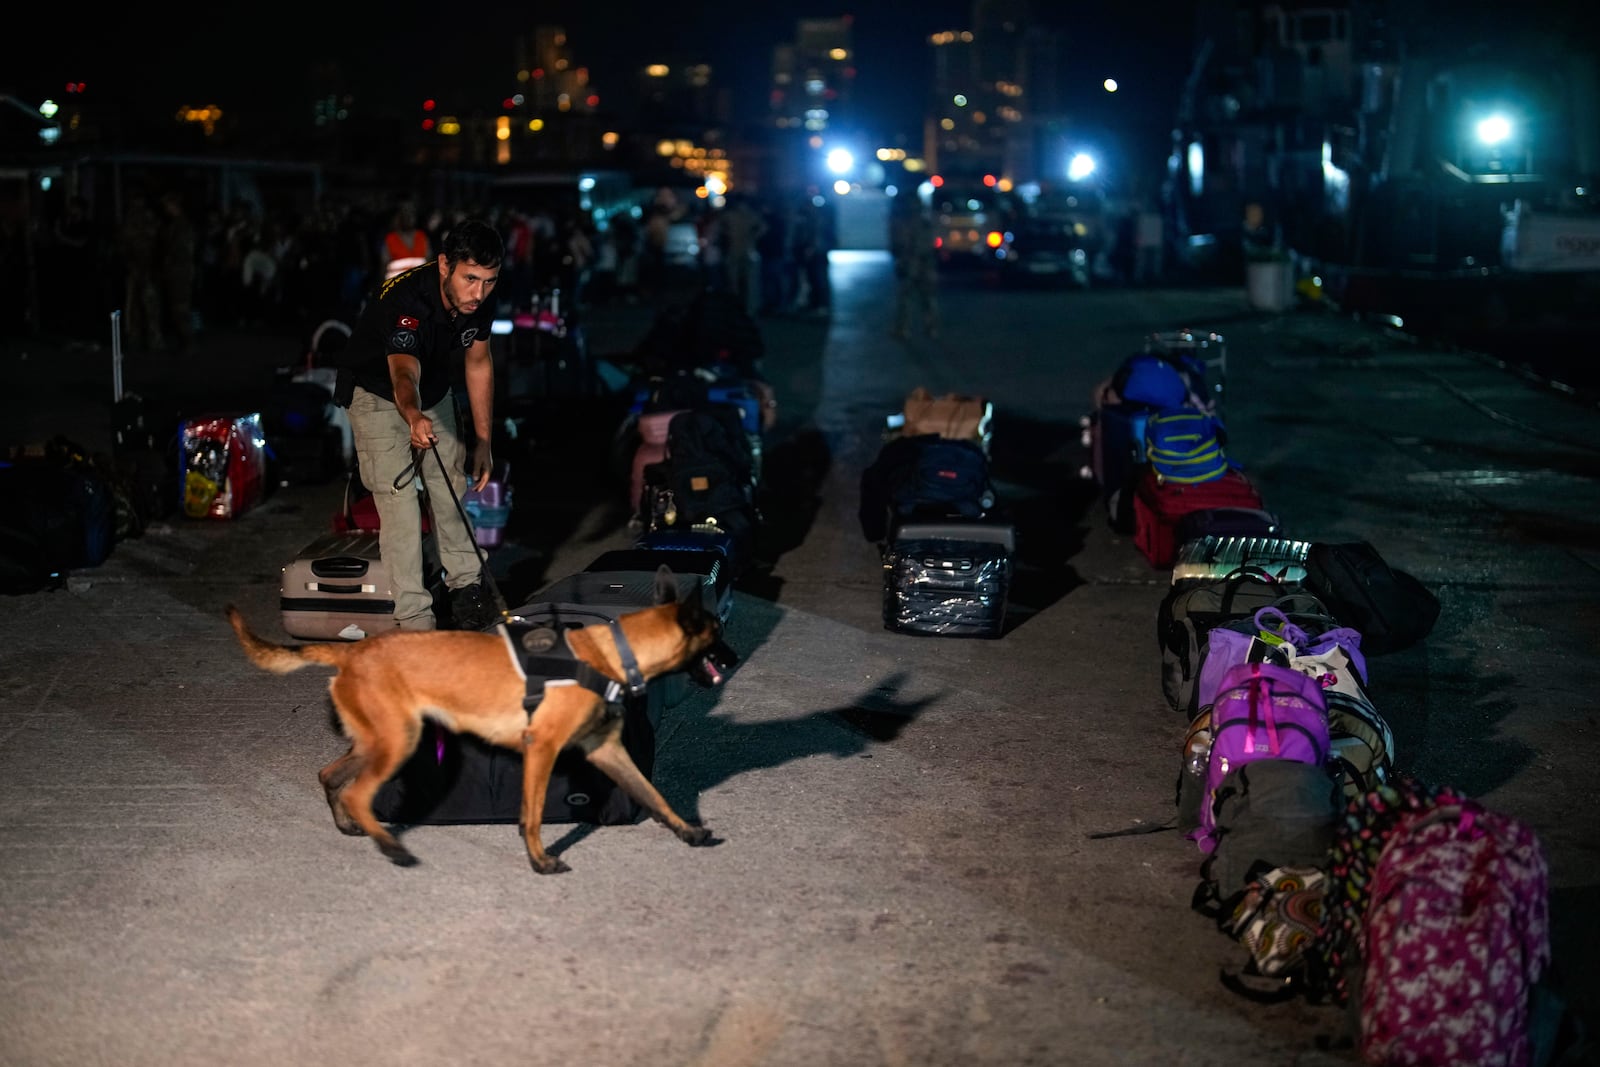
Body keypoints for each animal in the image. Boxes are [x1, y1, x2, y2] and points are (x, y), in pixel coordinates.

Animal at [227, 566, 736, 876]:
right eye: (716, 634)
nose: (732, 659)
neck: (611, 652)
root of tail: (351, 651)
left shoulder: (608, 752)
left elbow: (656, 797)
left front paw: (689, 832)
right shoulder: (541, 749)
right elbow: (532, 814)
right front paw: (540, 861)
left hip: (378, 741)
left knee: (330, 776)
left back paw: (348, 827)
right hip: (397, 743)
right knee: (355, 792)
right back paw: (392, 847)